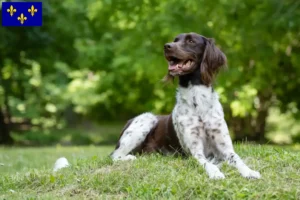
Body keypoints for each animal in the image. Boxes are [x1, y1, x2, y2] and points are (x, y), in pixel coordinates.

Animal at [110, 32, 260, 180]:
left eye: (191, 41)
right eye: (175, 40)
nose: (167, 46)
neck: (198, 101)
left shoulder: (225, 147)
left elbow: (237, 159)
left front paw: (250, 171)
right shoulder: (195, 151)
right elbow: (207, 163)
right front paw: (216, 172)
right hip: (146, 119)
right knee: (114, 155)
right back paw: (129, 158)